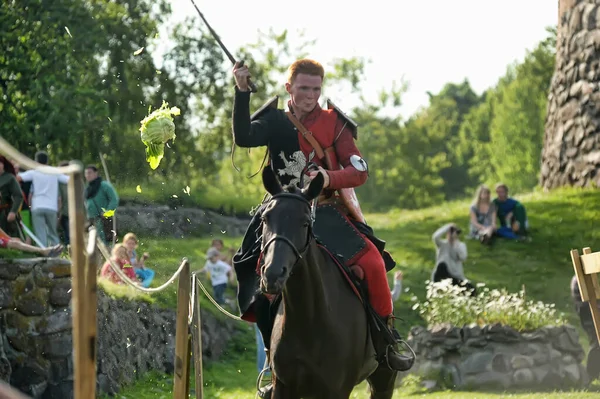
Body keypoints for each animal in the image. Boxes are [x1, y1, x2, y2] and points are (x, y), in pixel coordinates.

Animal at [258, 166, 396, 399]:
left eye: (305, 222)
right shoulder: (283, 386)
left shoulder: (337, 390)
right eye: (266, 219)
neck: (310, 318)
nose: (273, 274)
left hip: (383, 380)